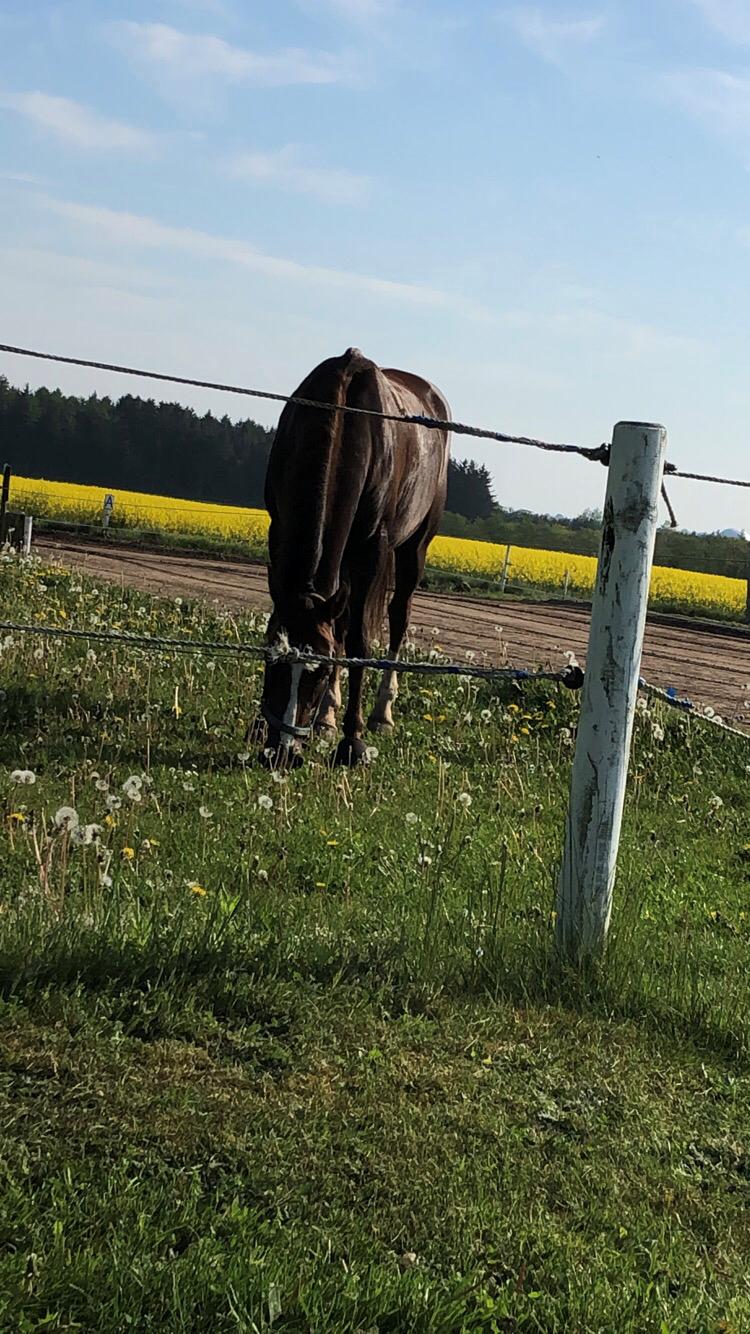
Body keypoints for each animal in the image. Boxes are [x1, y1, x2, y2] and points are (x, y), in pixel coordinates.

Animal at [261, 349, 448, 768]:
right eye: (272, 662)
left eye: (316, 673)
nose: (283, 754)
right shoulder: (278, 530)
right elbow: (334, 630)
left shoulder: (371, 550)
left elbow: (360, 641)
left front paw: (353, 739)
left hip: (413, 549)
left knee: (398, 618)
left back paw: (381, 714)